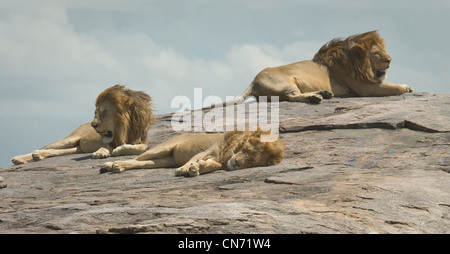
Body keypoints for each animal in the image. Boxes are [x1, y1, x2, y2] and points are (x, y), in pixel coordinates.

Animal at [11, 85, 156, 165]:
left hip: (77, 148)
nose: (93, 125)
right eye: (95, 112)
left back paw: (38, 155)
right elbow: (106, 146)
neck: (124, 130)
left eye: (104, 112)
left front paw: (120, 149)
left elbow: (140, 148)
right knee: (46, 147)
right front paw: (101, 152)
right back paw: (20, 158)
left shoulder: (143, 141)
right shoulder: (108, 141)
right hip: (70, 139)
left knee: (55, 151)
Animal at [101, 128, 284, 178]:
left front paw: (197, 169)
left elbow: (213, 165)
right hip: (162, 148)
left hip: (164, 160)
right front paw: (186, 169)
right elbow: (194, 160)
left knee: (141, 163)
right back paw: (110, 164)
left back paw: (117, 166)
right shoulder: (209, 150)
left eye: (253, 162)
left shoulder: (219, 160)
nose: (237, 163)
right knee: (136, 158)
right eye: (246, 150)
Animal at [227, 30, 414, 105]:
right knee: (291, 96)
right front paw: (406, 87)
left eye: (385, 50)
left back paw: (324, 93)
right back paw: (315, 98)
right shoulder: (365, 88)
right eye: (376, 53)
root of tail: (253, 80)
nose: (390, 60)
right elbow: (393, 87)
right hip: (285, 83)